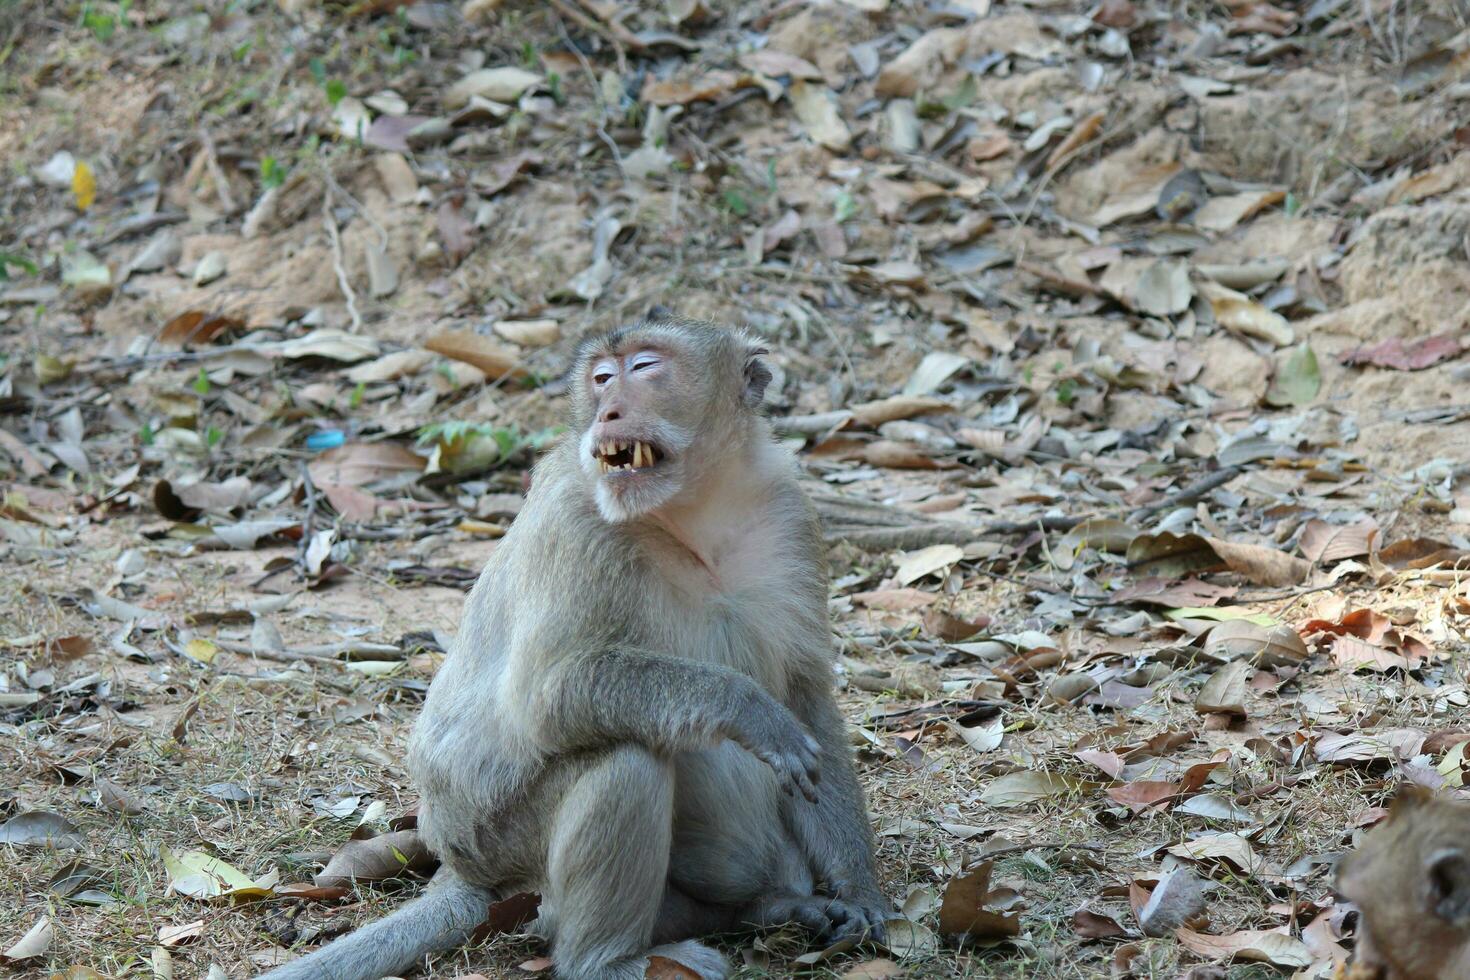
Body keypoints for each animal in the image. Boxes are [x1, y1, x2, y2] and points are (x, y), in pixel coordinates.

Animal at [255, 320, 882, 980]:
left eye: (645, 366)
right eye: (603, 377)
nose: (607, 411)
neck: (691, 511)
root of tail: (454, 860)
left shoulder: (789, 515)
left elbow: (806, 696)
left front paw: (859, 892)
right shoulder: (576, 526)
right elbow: (545, 695)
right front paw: (748, 709)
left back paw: (771, 905)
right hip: (506, 843)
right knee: (625, 759)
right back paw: (606, 961)